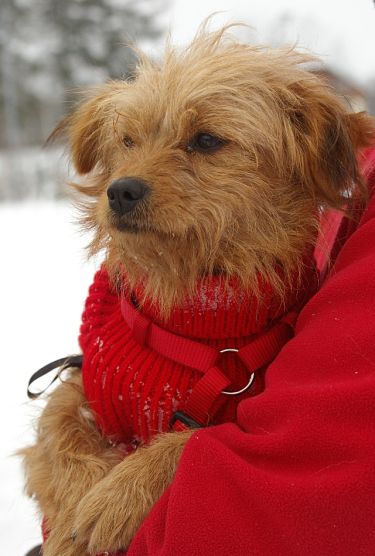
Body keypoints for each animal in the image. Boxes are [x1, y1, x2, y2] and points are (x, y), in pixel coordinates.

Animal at [21, 25, 375, 556]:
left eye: (206, 140)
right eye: (127, 140)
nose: (120, 191)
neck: (190, 301)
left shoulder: (240, 410)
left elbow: (188, 440)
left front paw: (118, 494)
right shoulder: (81, 379)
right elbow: (60, 428)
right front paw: (73, 519)